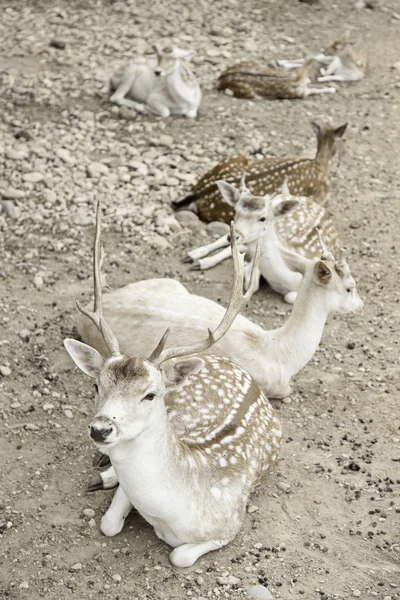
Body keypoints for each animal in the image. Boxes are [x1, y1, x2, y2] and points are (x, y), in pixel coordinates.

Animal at [63, 205, 288, 568]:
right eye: (97, 385)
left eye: (150, 394)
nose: (101, 429)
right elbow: (109, 523)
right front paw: (107, 482)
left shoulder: (230, 524)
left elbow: (179, 556)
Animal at [173, 121, 348, 223]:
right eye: (343, 140)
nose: (344, 153)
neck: (320, 164)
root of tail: (198, 194)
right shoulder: (317, 199)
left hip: (235, 157)